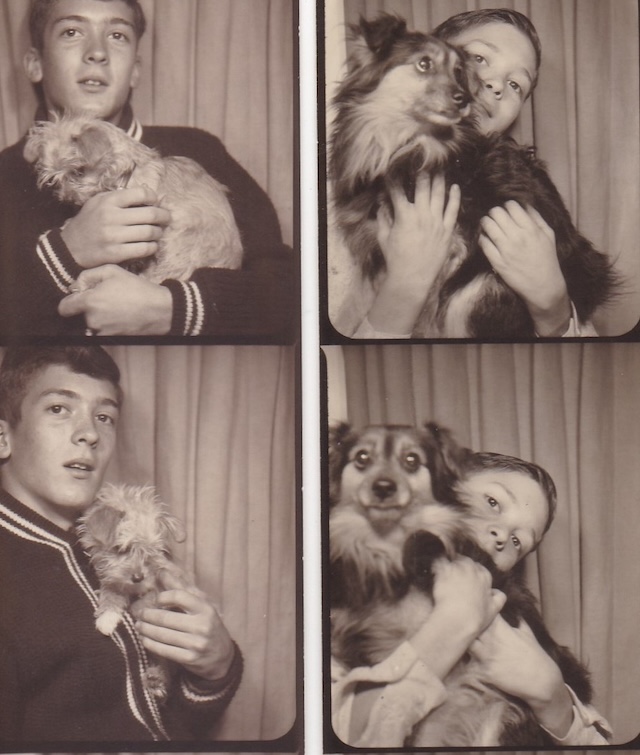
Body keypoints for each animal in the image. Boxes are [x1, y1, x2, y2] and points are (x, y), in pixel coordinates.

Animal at [328, 13, 616, 338]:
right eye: (424, 64)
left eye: (458, 72)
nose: (464, 97)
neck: (403, 147)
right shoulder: (371, 251)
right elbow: (355, 303)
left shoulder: (451, 254)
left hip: (472, 291)